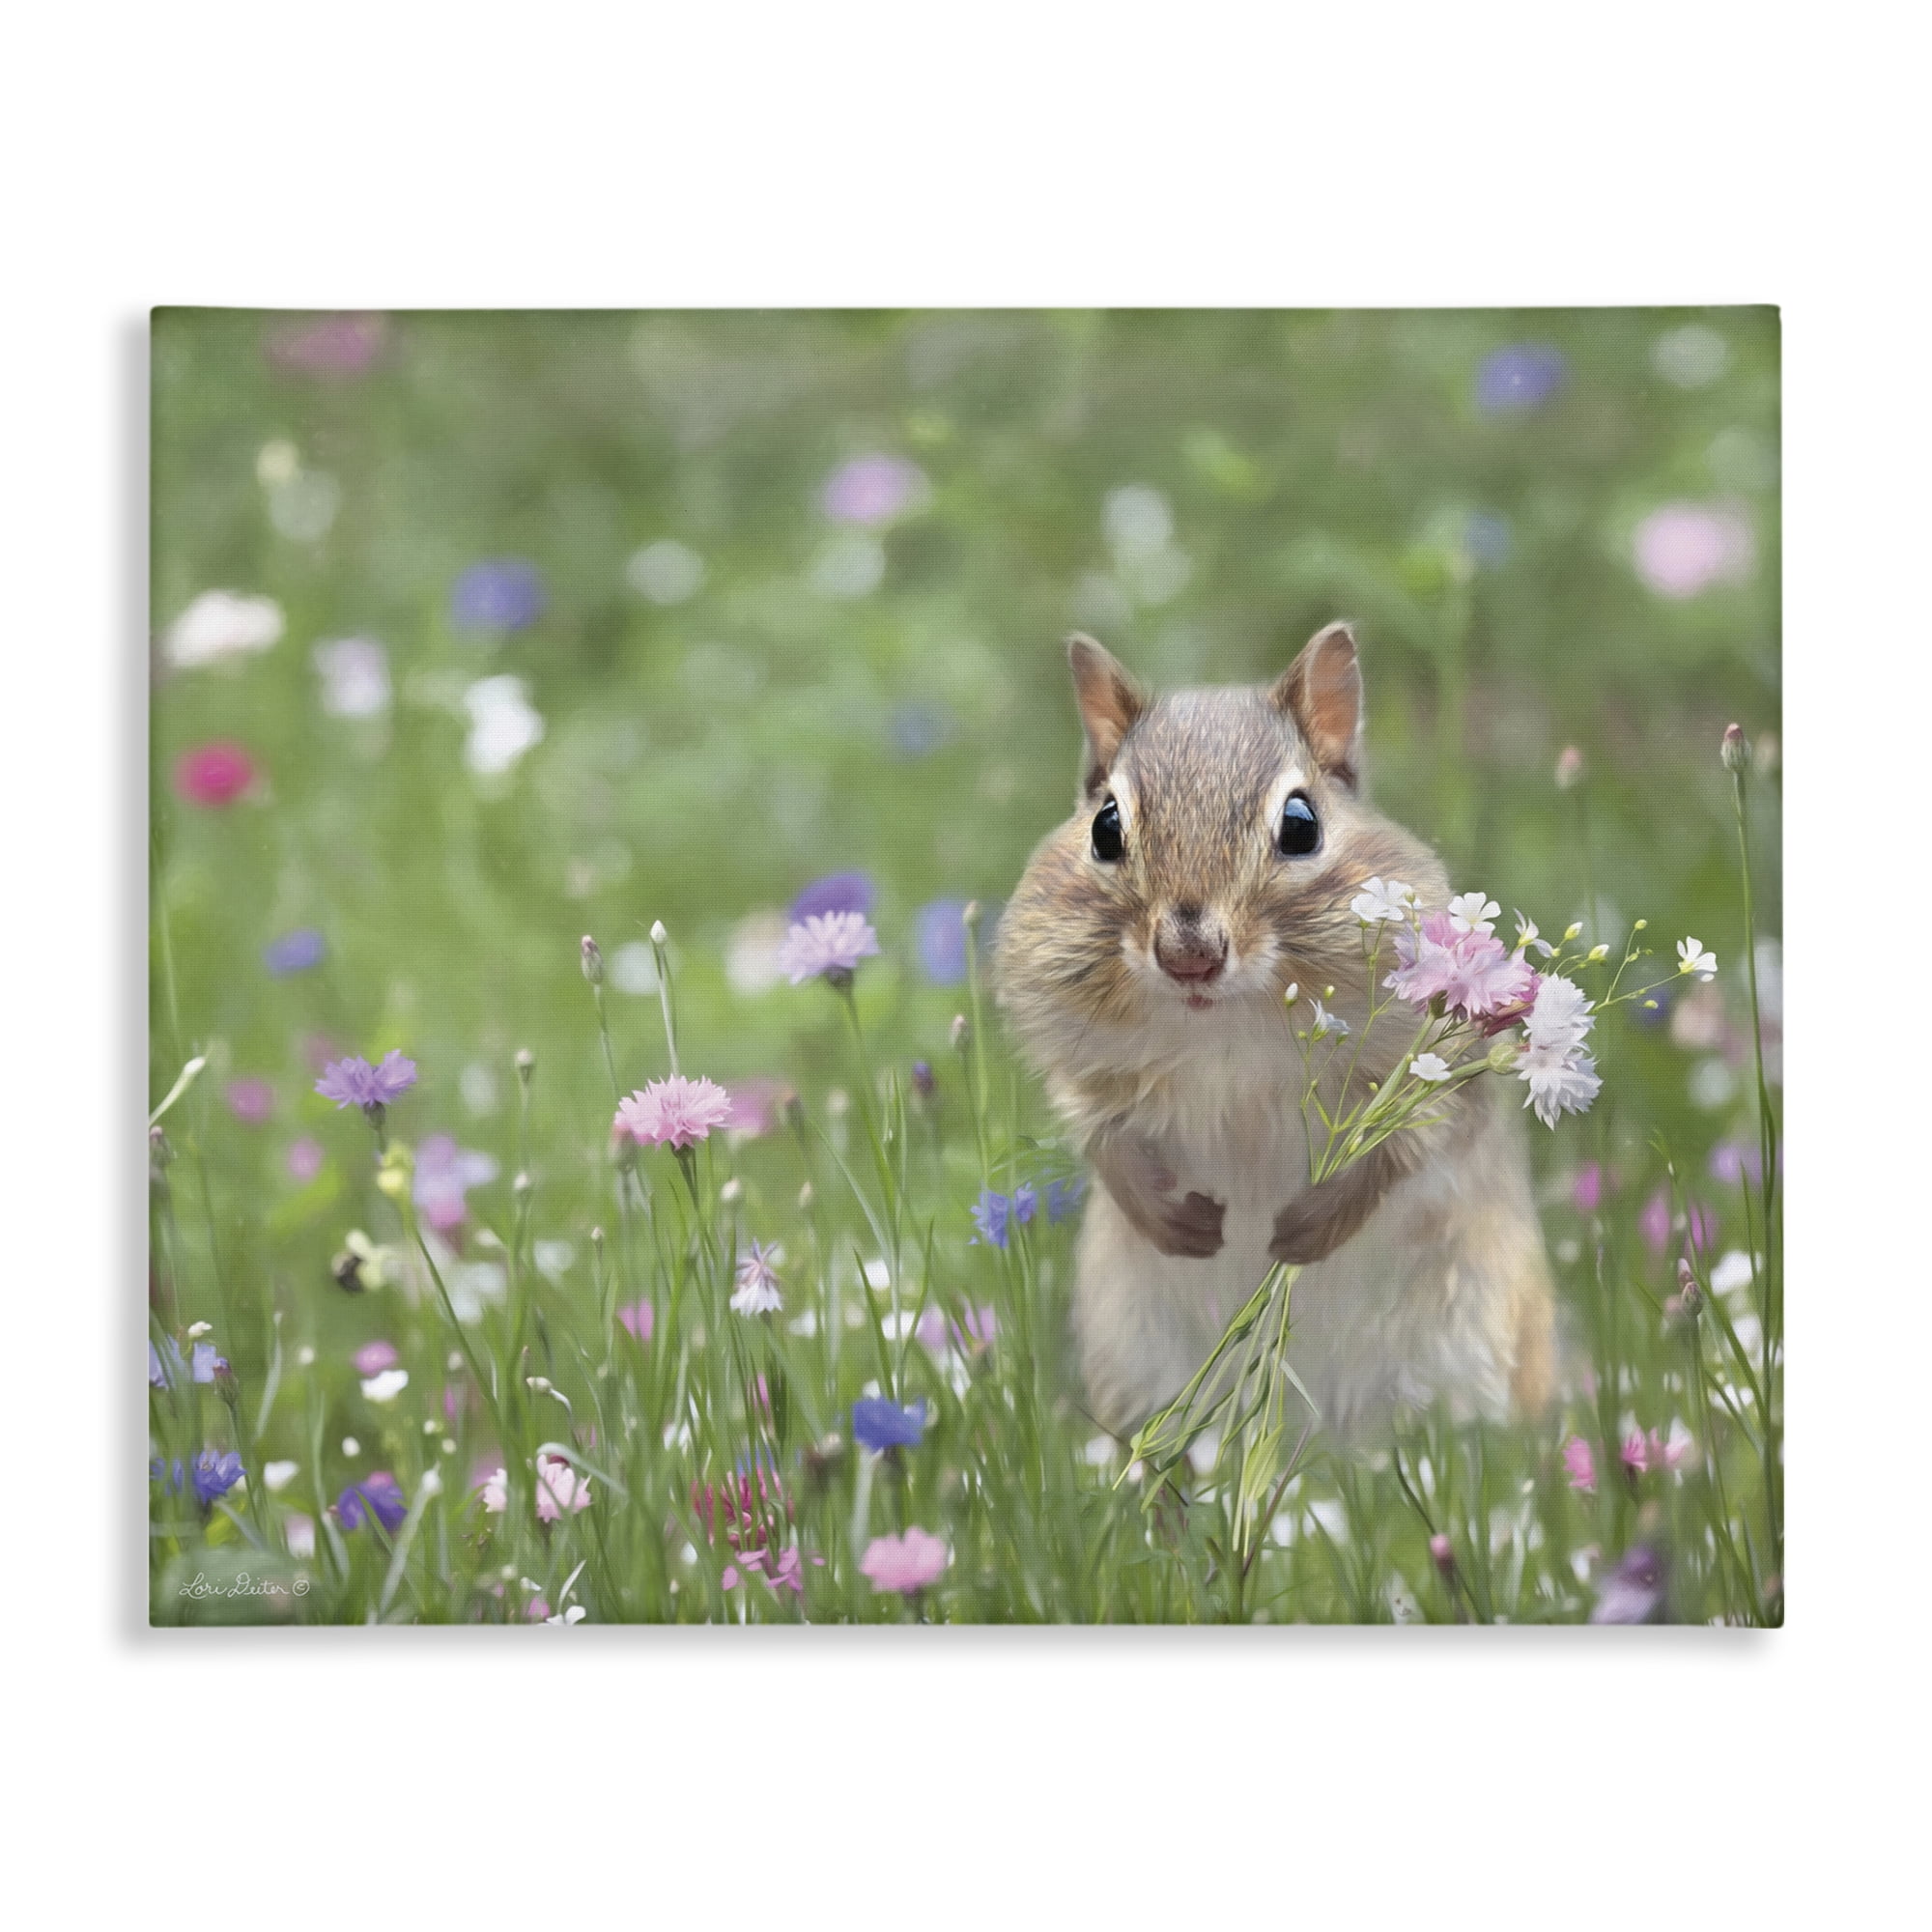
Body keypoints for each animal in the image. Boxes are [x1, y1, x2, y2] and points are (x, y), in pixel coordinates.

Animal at [995, 621, 1555, 1439]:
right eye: (1105, 827)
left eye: (1301, 825)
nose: (1189, 955)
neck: (1224, 1025)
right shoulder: (1083, 1066)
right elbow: (1102, 1138)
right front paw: (1177, 1224)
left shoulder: (1435, 1069)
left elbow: (1405, 1149)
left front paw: (1303, 1231)